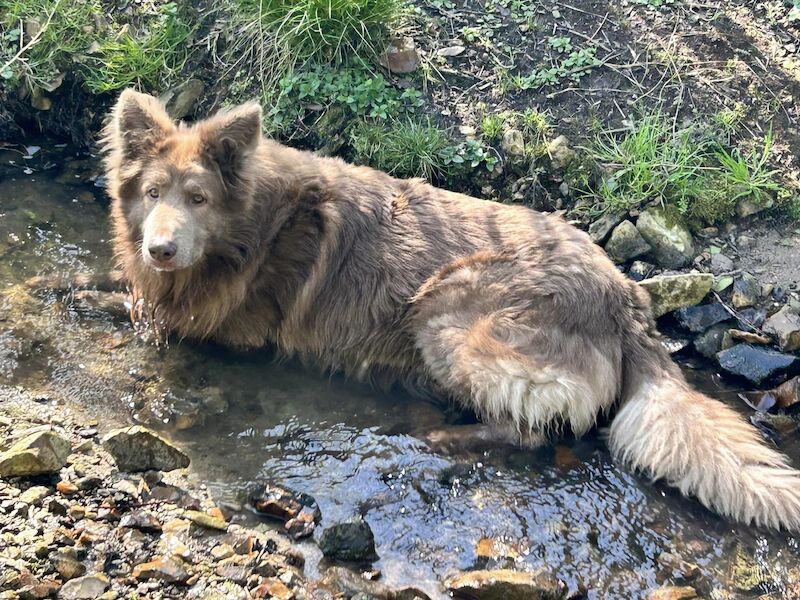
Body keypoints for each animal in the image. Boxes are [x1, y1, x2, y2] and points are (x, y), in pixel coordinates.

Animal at [103, 89, 800, 528]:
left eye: (198, 198)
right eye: (155, 193)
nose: (161, 250)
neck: (254, 230)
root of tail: (626, 298)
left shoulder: (235, 332)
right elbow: (119, 296)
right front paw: (103, 293)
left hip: (445, 315)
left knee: (527, 430)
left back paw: (437, 433)